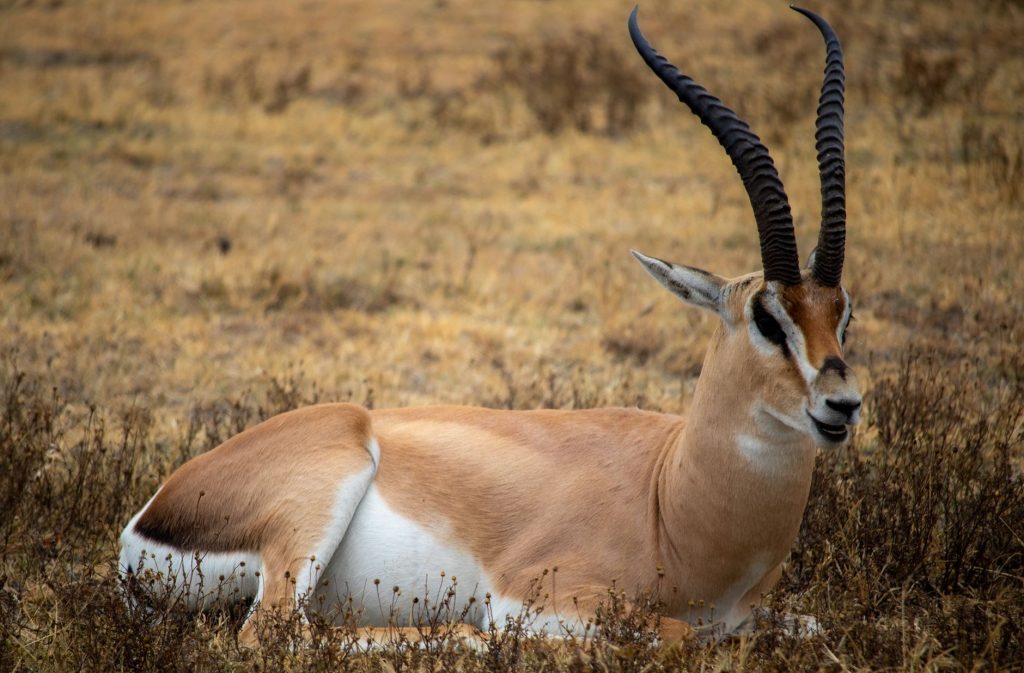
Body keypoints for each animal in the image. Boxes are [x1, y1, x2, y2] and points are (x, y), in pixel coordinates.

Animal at [119, 6, 859, 646]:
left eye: (843, 312)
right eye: (766, 317)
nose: (843, 403)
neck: (671, 497)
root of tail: (152, 513)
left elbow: (804, 624)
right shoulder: (542, 599)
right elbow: (674, 633)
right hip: (319, 506)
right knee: (276, 632)